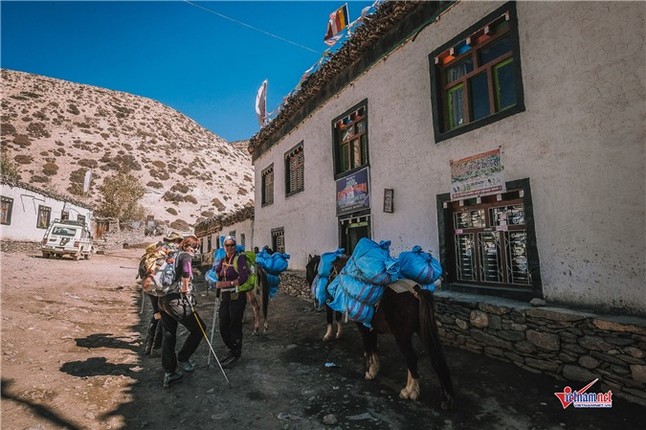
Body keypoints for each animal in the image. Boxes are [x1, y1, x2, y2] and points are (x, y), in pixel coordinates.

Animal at [306, 254, 454, 412]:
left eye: (308, 267)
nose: (311, 287)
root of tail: (417, 292)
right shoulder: (368, 325)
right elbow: (372, 345)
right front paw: (372, 364)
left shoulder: (361, 324)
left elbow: (368, 344)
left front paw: (370, 371)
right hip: (422, 330)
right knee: (435, 357)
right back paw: (444, 397)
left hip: (402, 335)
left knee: (411, 358)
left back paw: (409, 391)